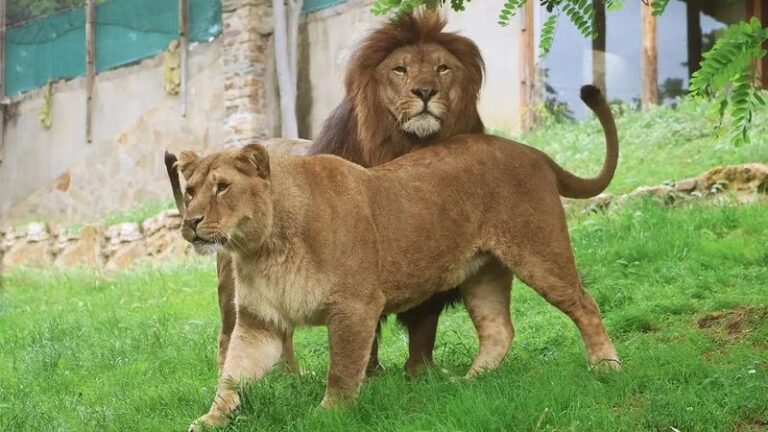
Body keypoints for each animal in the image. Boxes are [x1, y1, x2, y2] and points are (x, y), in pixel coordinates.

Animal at [166, 9, 487, 378]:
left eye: (442, 68)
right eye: (400, 69)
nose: (425, 91)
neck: (407, 148)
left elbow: (423, 326)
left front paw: (422, 375)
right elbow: (364, 333)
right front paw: (369, 376)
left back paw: (290, 378)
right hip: (233, 284)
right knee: (231, 333)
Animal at [180, 85, 620, 430]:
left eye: (222, 187)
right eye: (189, 190)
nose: (190, 221)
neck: (263, 248)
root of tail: (535, 152)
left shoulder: (356, 306)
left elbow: (342, 370)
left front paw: (328, 415)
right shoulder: (261, 323)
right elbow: (232, 375)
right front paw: (210, 419)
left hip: (538, 251)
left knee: (584, 303)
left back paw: (606, 366)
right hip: (482, 273)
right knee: (499, 330)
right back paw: (467, 383)